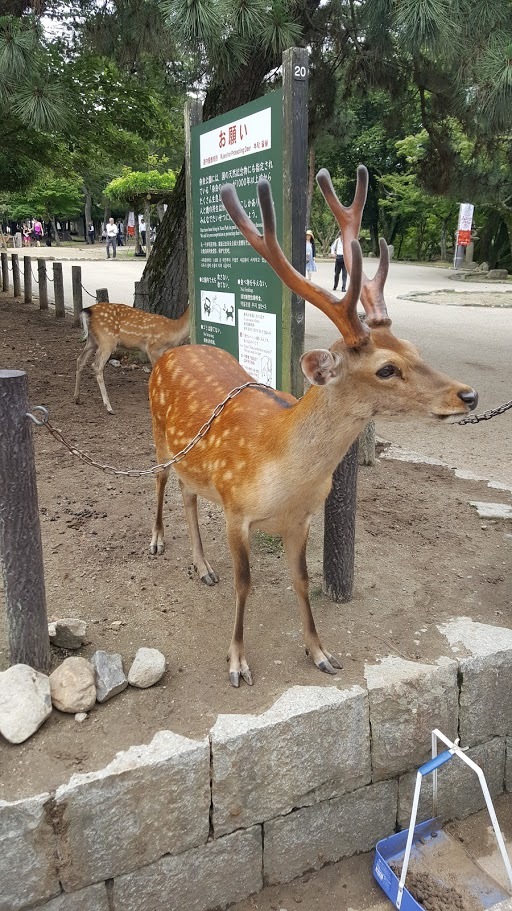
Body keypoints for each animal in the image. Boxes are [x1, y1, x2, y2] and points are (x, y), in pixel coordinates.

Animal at [147, 167, 476, 688]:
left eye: (415, 348)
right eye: (386, 369)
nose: (467, 395)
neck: (282, 473)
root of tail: (171, 352)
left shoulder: (300, 519)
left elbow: (301, 580)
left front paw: (320, 652)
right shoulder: (237, 509)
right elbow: (246, 582)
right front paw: (237, 661)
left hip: (193, 458)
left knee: (188, 492)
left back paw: (201, 566)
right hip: (158, 430)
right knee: (161, 478)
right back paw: (159, 541)